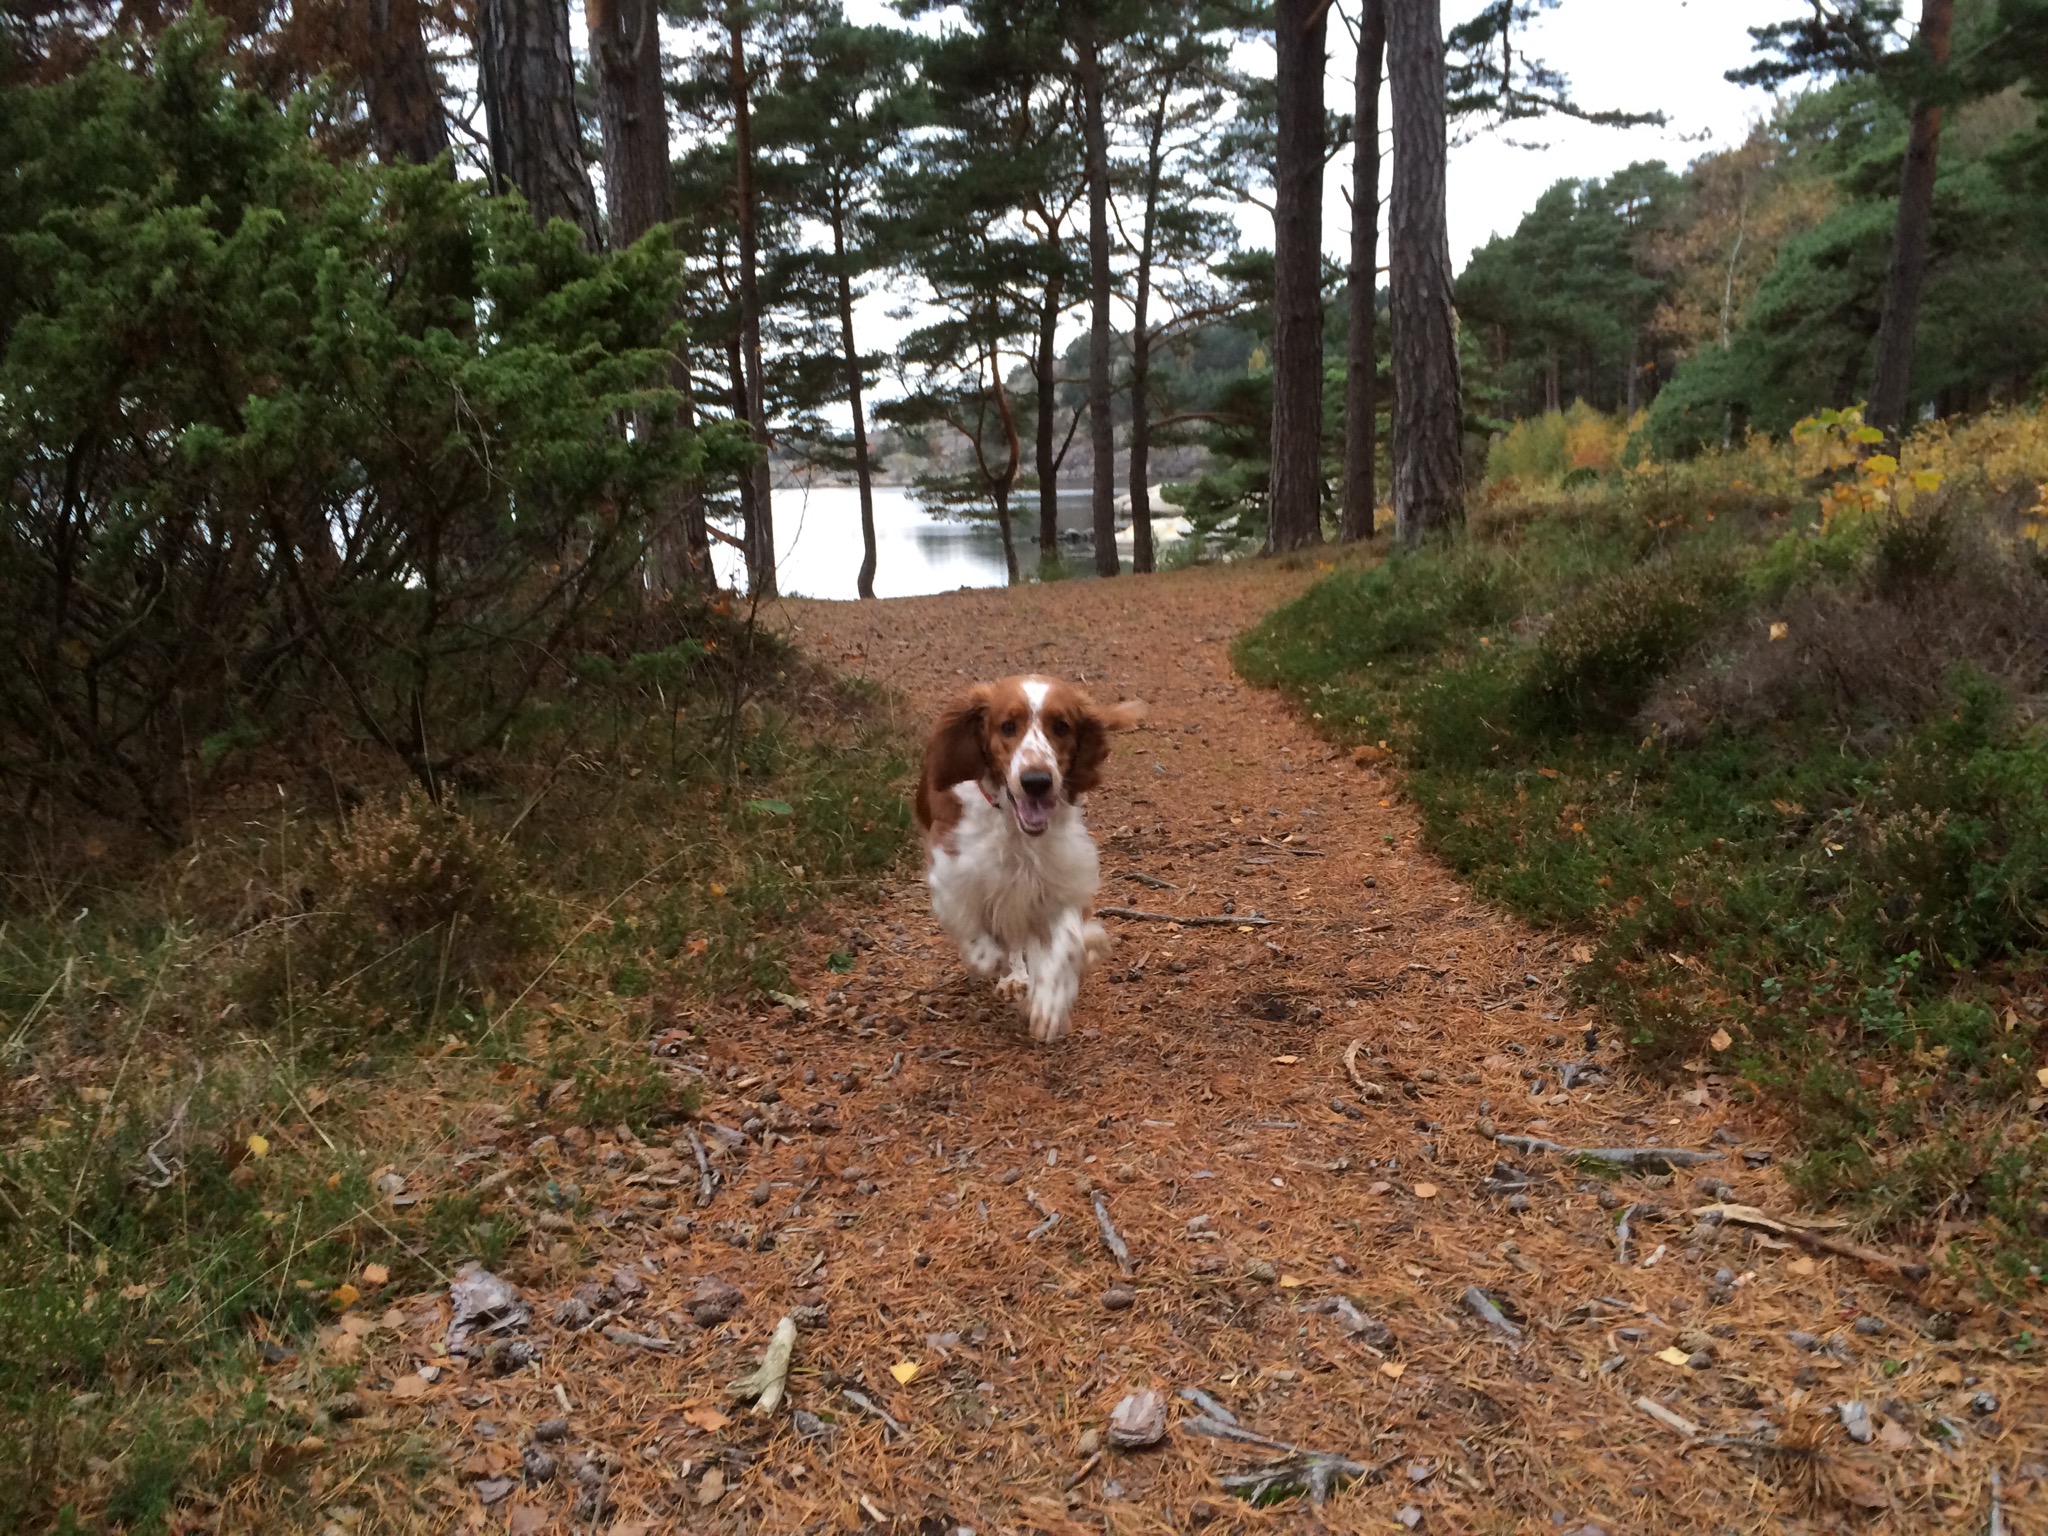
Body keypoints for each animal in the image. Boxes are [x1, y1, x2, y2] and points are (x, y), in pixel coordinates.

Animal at [913, 676, 1145, 1043]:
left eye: (1061, 726)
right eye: (1008, 726)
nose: (1037, 781)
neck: (1015, 827)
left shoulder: (1058, 880)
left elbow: (1068, 942)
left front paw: (1048, 1003)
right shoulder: (951, 872)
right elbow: (978, 940)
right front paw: (998, 965)